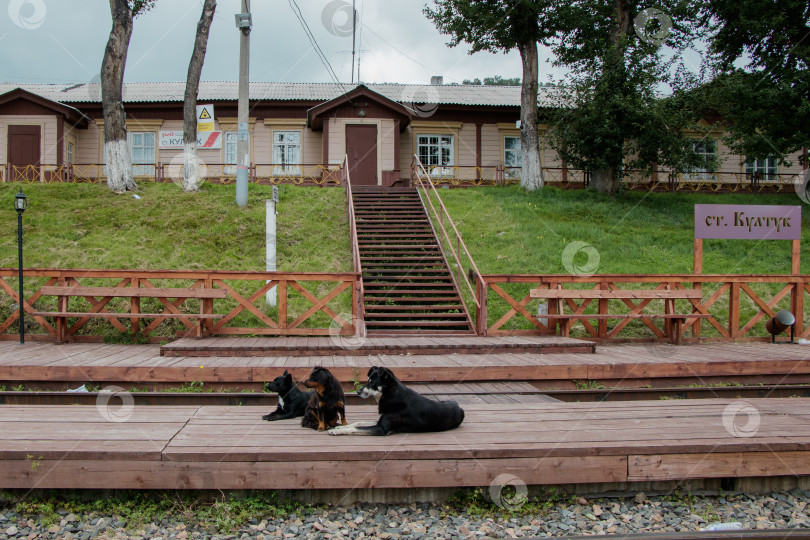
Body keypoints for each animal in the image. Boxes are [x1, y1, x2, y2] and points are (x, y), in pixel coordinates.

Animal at [326, 364, 460, 436]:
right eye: (368, 380)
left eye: (372, 383)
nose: (358, 392)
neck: (390, 395)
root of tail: (459, 407)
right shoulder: (379, 420)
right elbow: (360, 422)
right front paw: (340, 427)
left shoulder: (381, 428)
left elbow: (357, 428)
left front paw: (338, 431)